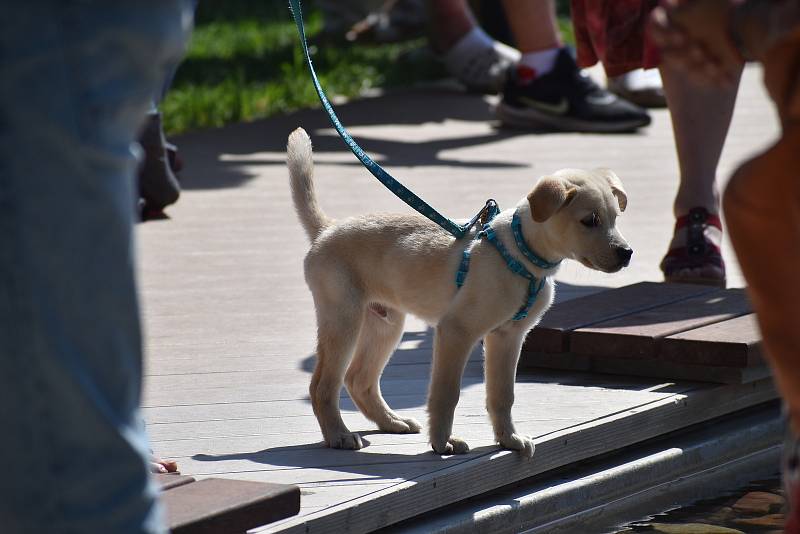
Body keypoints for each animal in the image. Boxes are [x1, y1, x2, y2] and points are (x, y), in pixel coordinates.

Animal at [286, 127, 632, 458]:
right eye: (589, 221)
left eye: (615, 218)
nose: (627, 253)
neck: (520, 254)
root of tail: (327, 228)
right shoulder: (456, 332)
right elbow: (446, 393)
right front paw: (442, 443)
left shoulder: (508, 337)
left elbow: (502, 395)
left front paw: (509, 440)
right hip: (343, 319)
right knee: (323, 385)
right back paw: (339, 435)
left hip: (385, 323)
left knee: (359, 379)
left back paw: (392, 422)